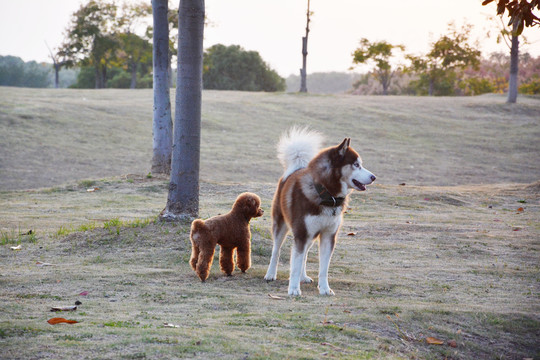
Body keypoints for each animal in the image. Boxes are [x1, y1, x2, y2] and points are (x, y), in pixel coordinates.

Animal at [264, 128, 376, 296]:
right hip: (282, 225)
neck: (326, 194)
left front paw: (324, 288)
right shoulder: (302, 233)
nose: (374, 177)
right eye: (356, 165)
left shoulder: (328, 235)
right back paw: (271, 274)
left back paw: (303, 277)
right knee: (276, 251)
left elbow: (323, 268)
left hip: (311, 235)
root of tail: (295, 169)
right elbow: (295, 264)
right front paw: (293, 289)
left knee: (304, 255)